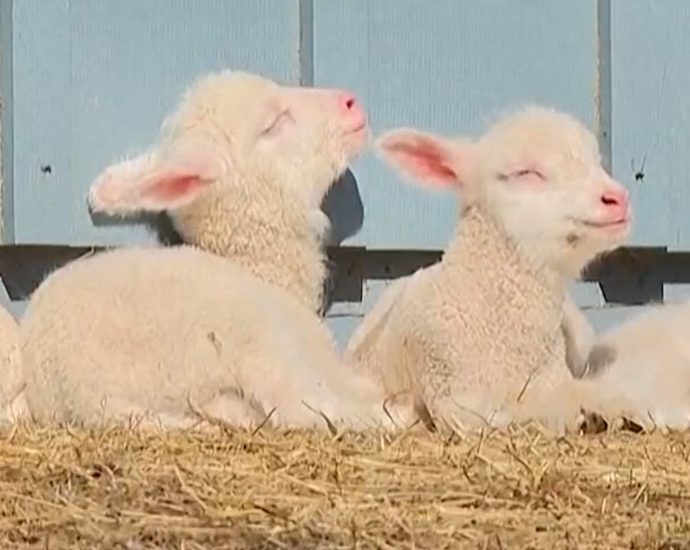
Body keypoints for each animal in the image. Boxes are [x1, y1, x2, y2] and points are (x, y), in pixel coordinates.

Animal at [20, 70, 407, 430]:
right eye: (271, 125)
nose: (350, 102)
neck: (262, 269)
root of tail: (87, 396)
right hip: (254, 342)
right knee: (302, 405)